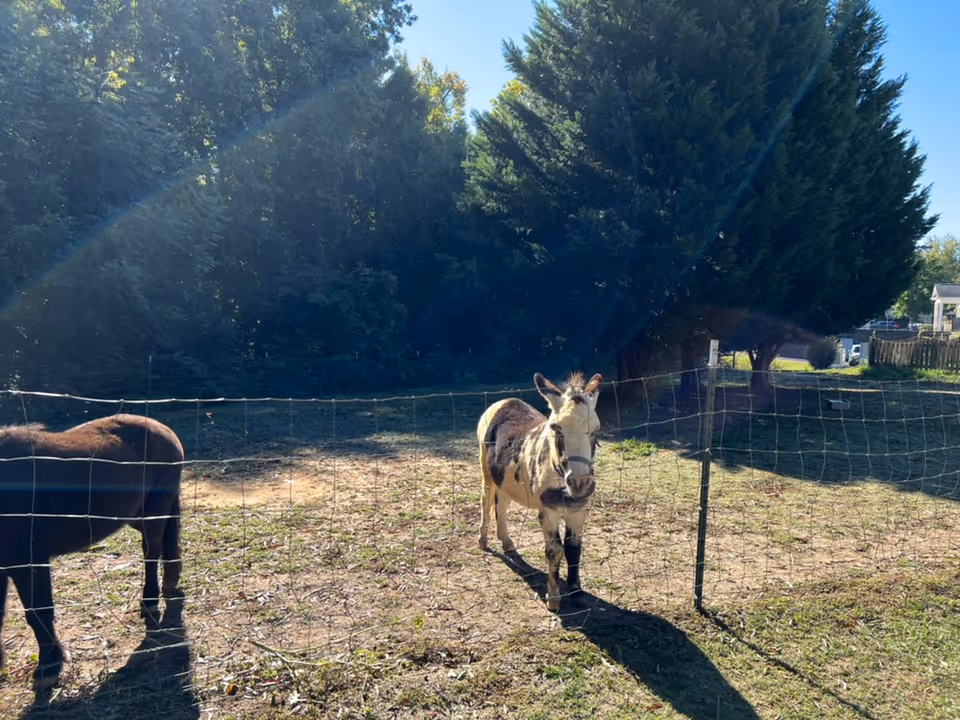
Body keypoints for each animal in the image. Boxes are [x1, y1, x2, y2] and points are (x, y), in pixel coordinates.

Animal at [0, 413, 185, 699]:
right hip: (134, 515)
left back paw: (150, 602)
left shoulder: (29, 562)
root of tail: (161, 428)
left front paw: (48, 667)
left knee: (151, 552)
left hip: (153, 512)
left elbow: (39, 612)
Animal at [477, 371, 602, 611]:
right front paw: (553, 598)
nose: (579, 483)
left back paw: (506, 541)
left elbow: (574, 548)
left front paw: (577, 593)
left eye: (596, 430)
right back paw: (483, 540)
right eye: (556, 428)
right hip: (486, 471)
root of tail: (504, 401)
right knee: (486, 502)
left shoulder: (578, 511)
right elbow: (555, 551)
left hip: (505, 480)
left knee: (502, 505)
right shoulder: (549, 513)